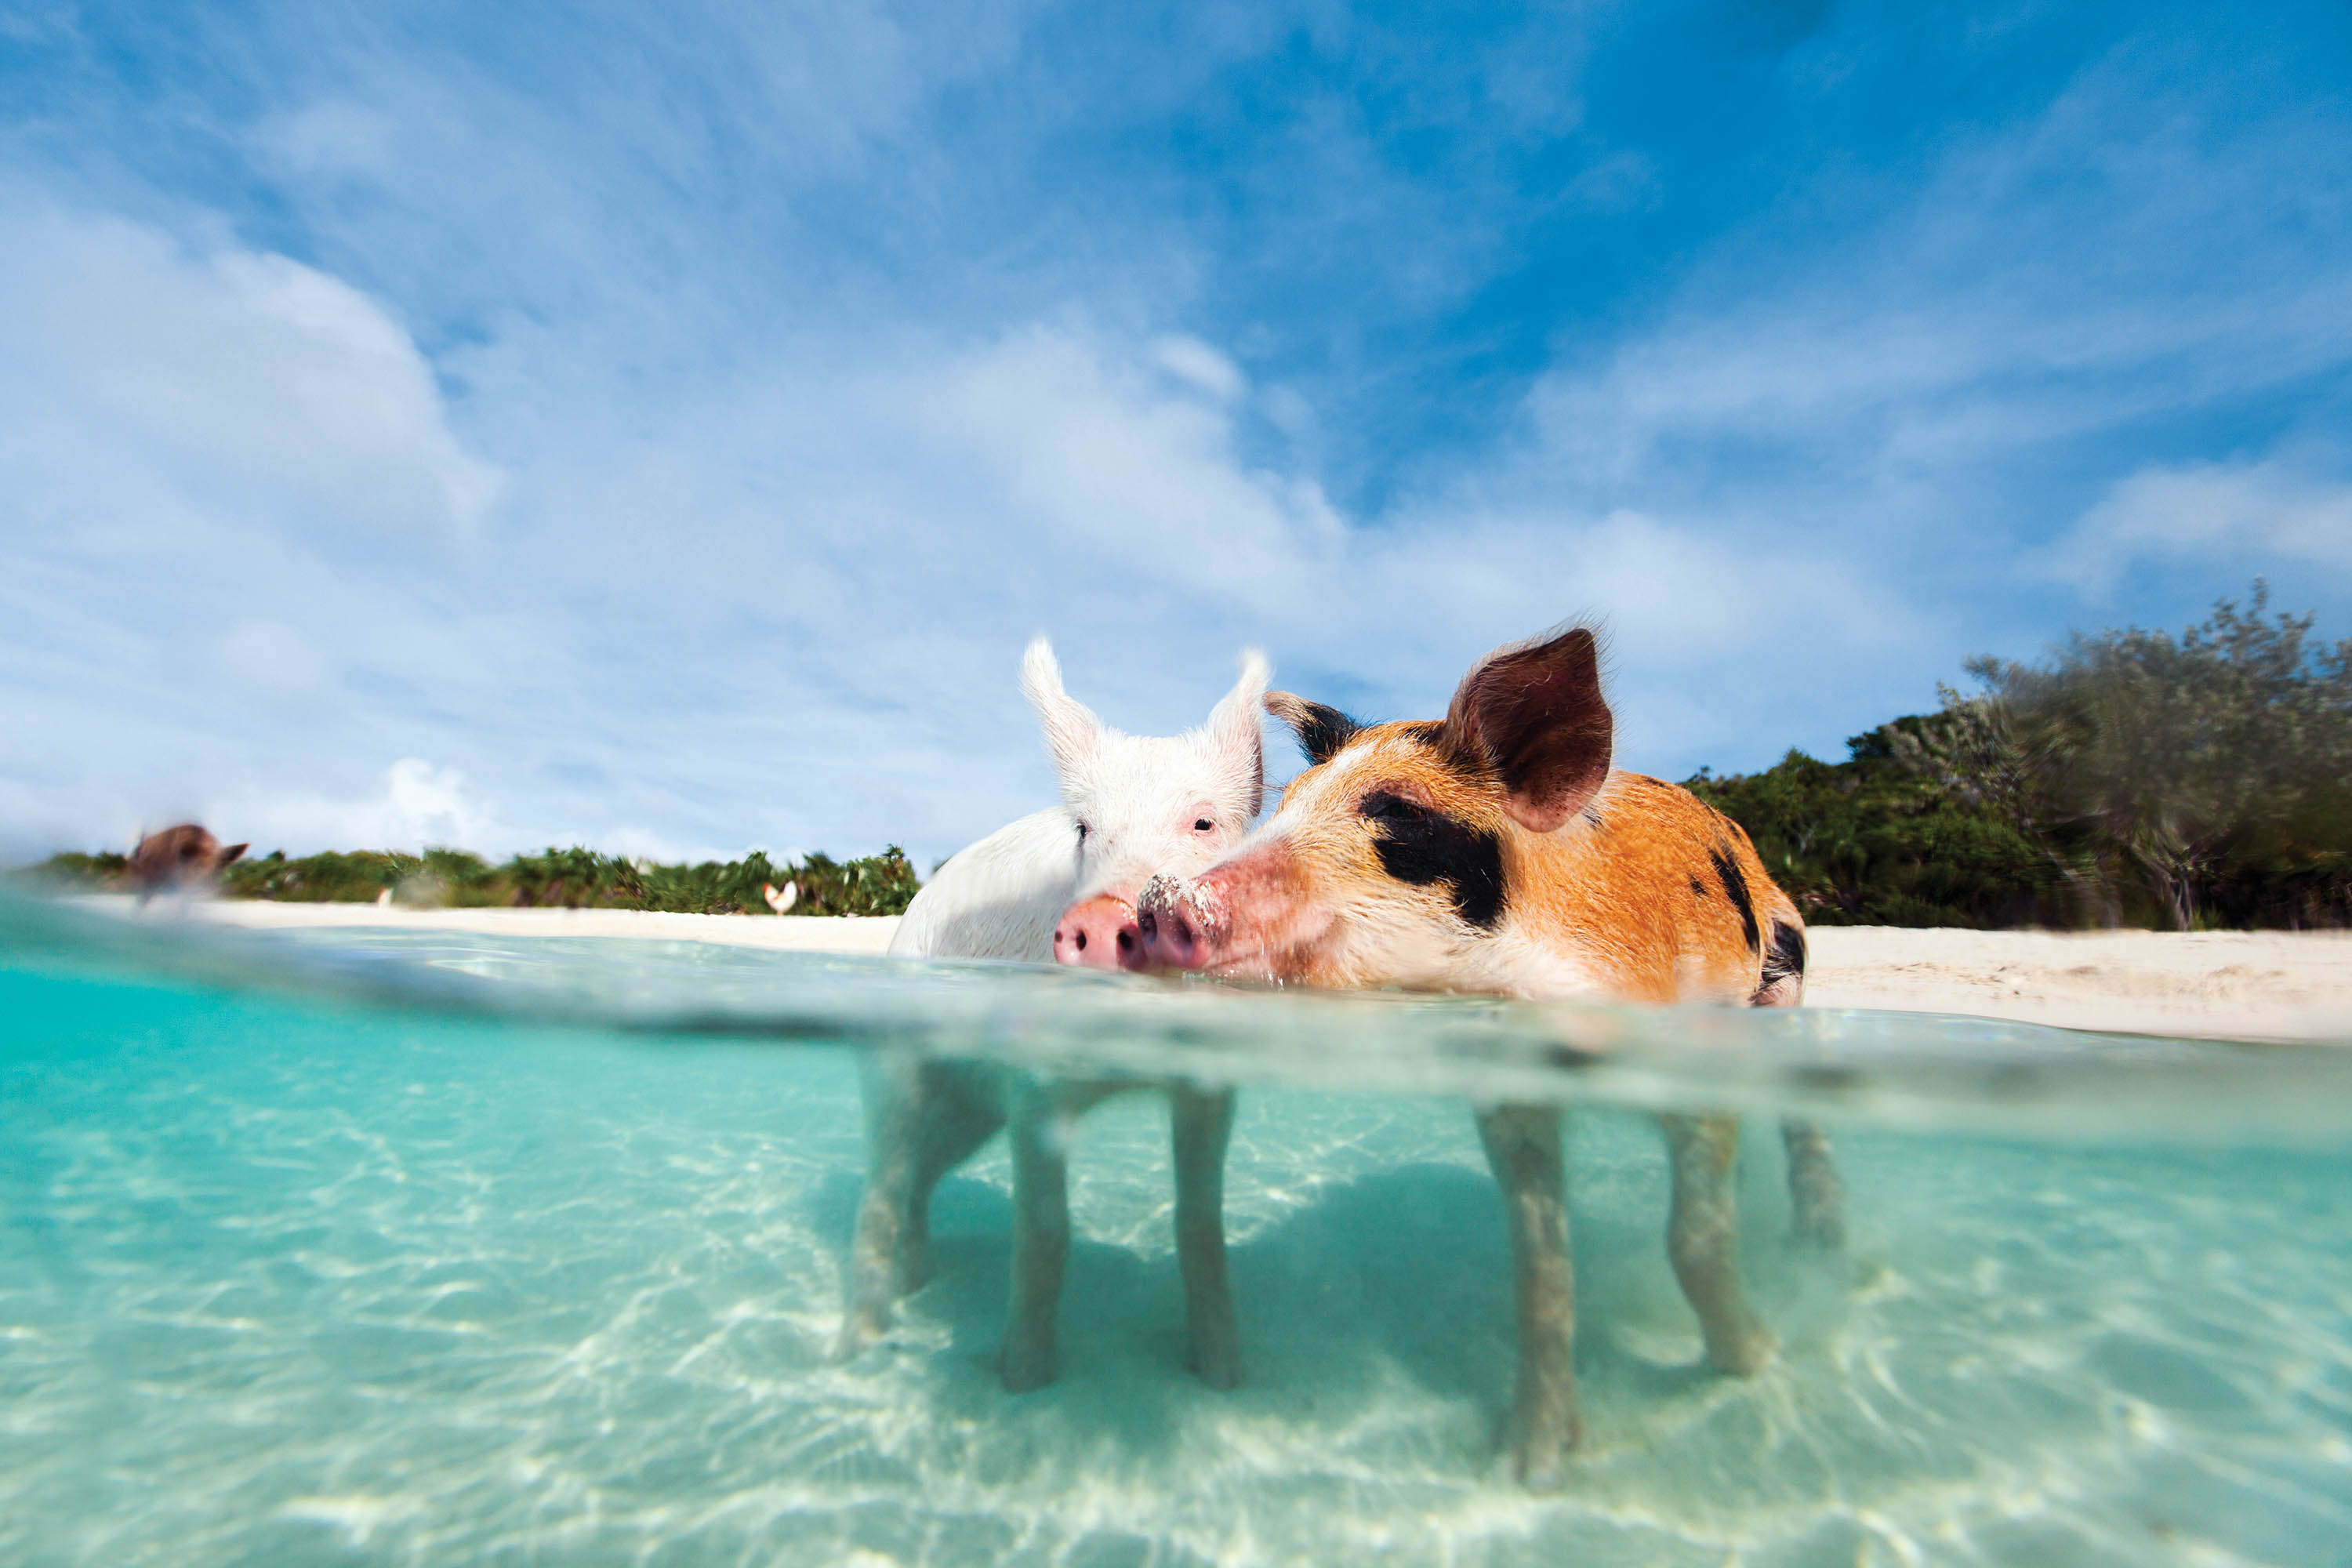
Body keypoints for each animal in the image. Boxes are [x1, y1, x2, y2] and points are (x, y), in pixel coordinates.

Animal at [1129, 620, 1844, 1486]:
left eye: (1399, 814)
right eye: (1287, 805)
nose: (1161, 900)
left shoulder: (1691, 1057)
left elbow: (1693, 1238)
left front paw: (1753, 1361)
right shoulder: (1511, 1099)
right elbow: (1541, 1267)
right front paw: (1531, 1466)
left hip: (1785, 978)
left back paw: (1820, 1246)